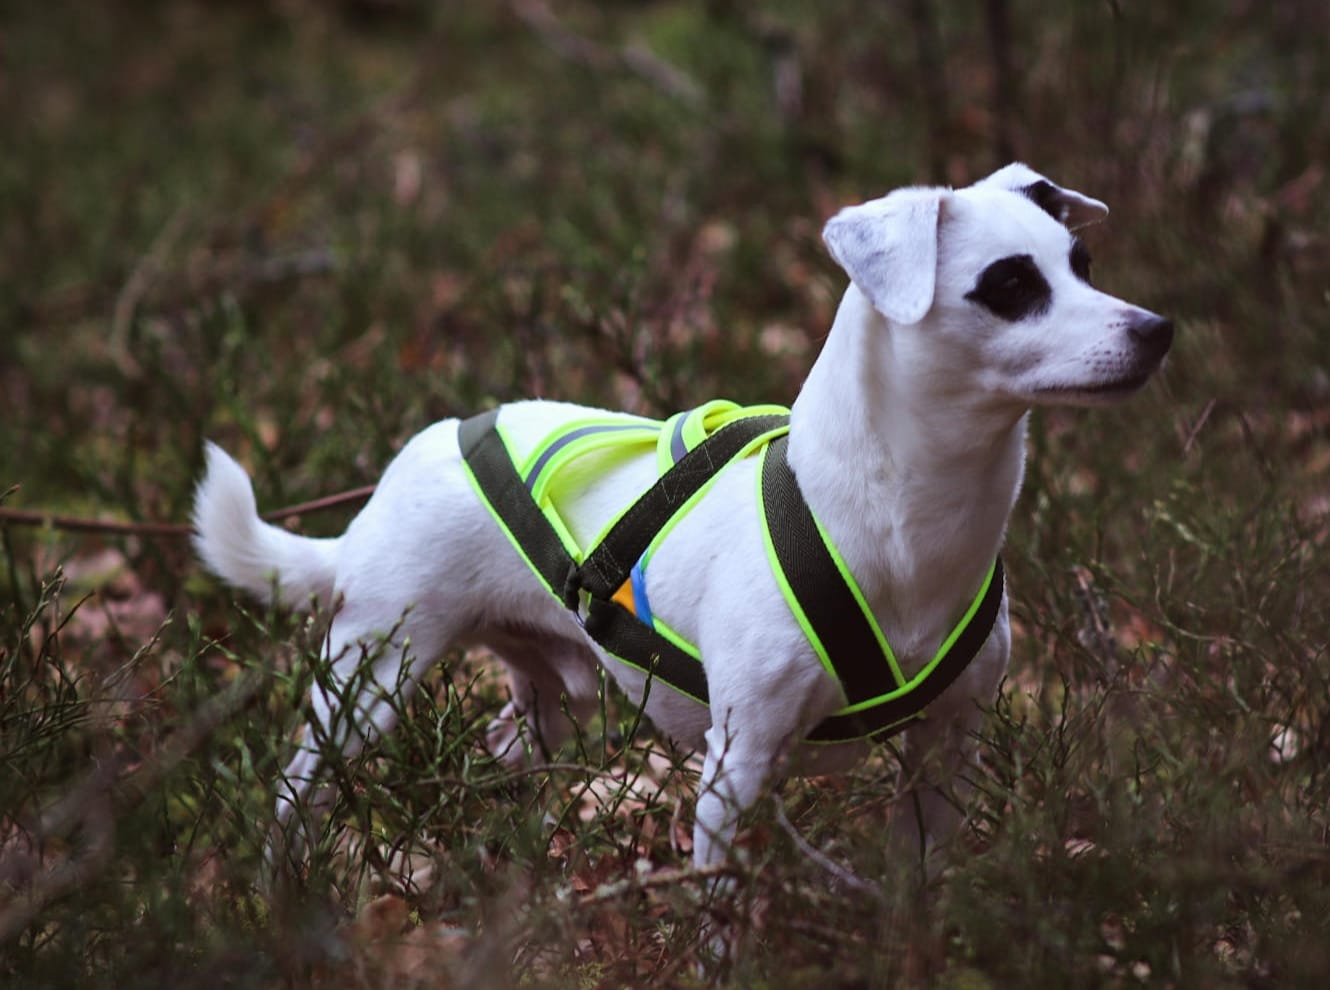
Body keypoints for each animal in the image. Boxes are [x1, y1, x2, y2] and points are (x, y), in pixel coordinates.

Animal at [194, 162, 1175, 872]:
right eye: (1009, 286)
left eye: (1084, 267)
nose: (1158, 328)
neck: (904, 523)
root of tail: (429, 445)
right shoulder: (735, 771)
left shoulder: (945, 755)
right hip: (370, 680)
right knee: (298, 792)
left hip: (549, 695)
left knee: (511, 750)